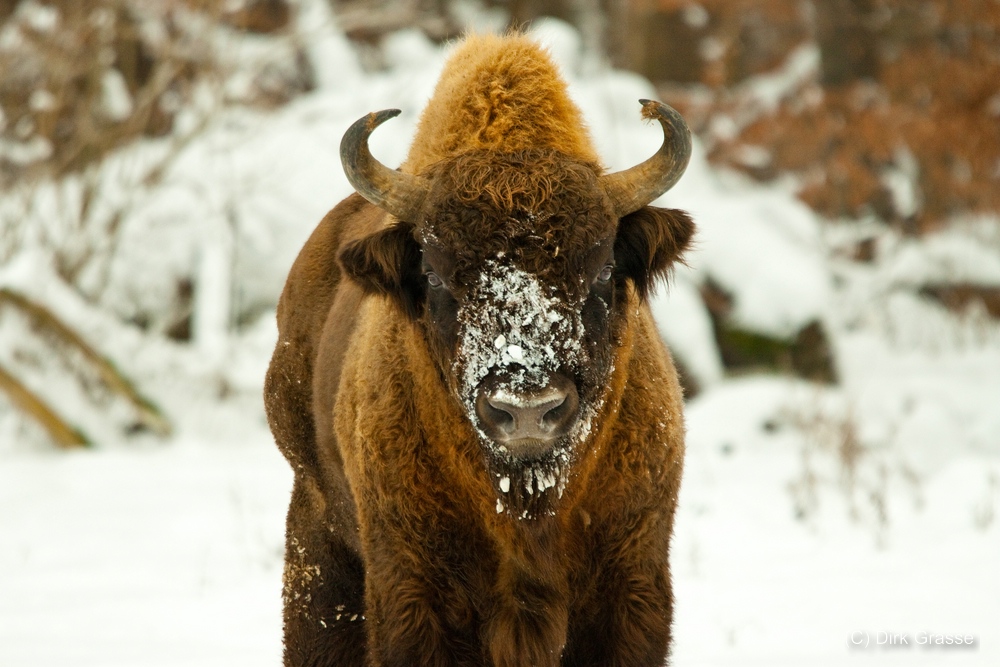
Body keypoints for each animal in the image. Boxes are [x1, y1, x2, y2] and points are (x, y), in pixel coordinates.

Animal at [270, 32, 700, 667]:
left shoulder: (631, 584)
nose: (527, 408)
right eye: (436, 273)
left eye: (601, 270)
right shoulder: (415, 591)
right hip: (318, 538)